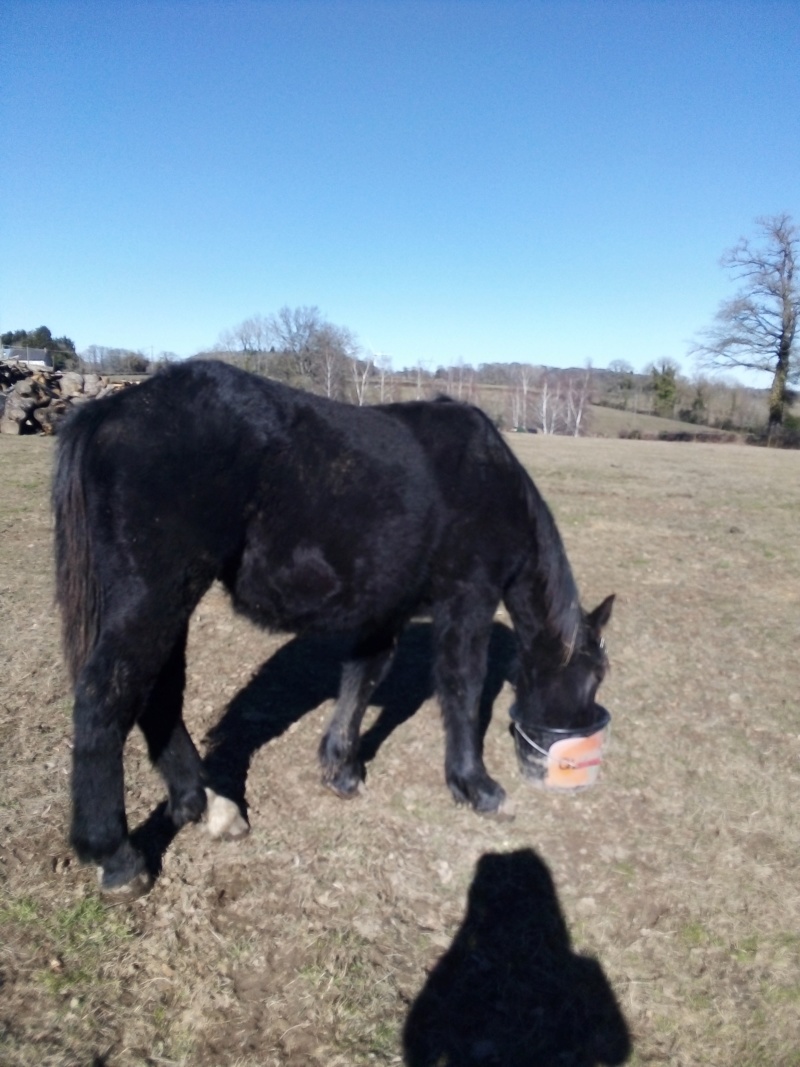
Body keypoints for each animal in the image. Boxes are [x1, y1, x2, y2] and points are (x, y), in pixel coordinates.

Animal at [53, 362, 614, 896]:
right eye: (596, 675)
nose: (583, 729)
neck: (490, 480)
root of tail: (114, 408)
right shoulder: (469, 601)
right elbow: (462, 689)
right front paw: (476, 786)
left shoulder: (387, 608)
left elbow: (363, 676)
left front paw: (341, 768)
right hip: (156, 596)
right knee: (107, 694)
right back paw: (116, 855)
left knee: (158, 693)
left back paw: (206, 803)